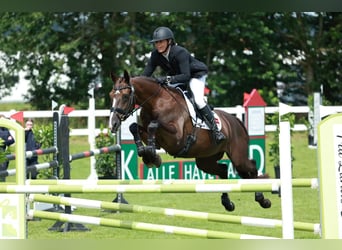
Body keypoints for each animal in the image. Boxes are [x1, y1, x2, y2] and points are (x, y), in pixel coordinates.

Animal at [108, 70, 272, 211]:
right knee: (223, 170)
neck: (156, 102)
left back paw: (262, 200)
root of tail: (235, 120)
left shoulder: (176, 137)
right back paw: (227, 203)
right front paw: (147, 154)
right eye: (111, 96)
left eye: (125, 96)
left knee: (251, 166)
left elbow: (153, 125)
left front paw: (152, 156)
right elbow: (134, 127)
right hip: (205, 160)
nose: (113, 124)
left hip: (238, 157)